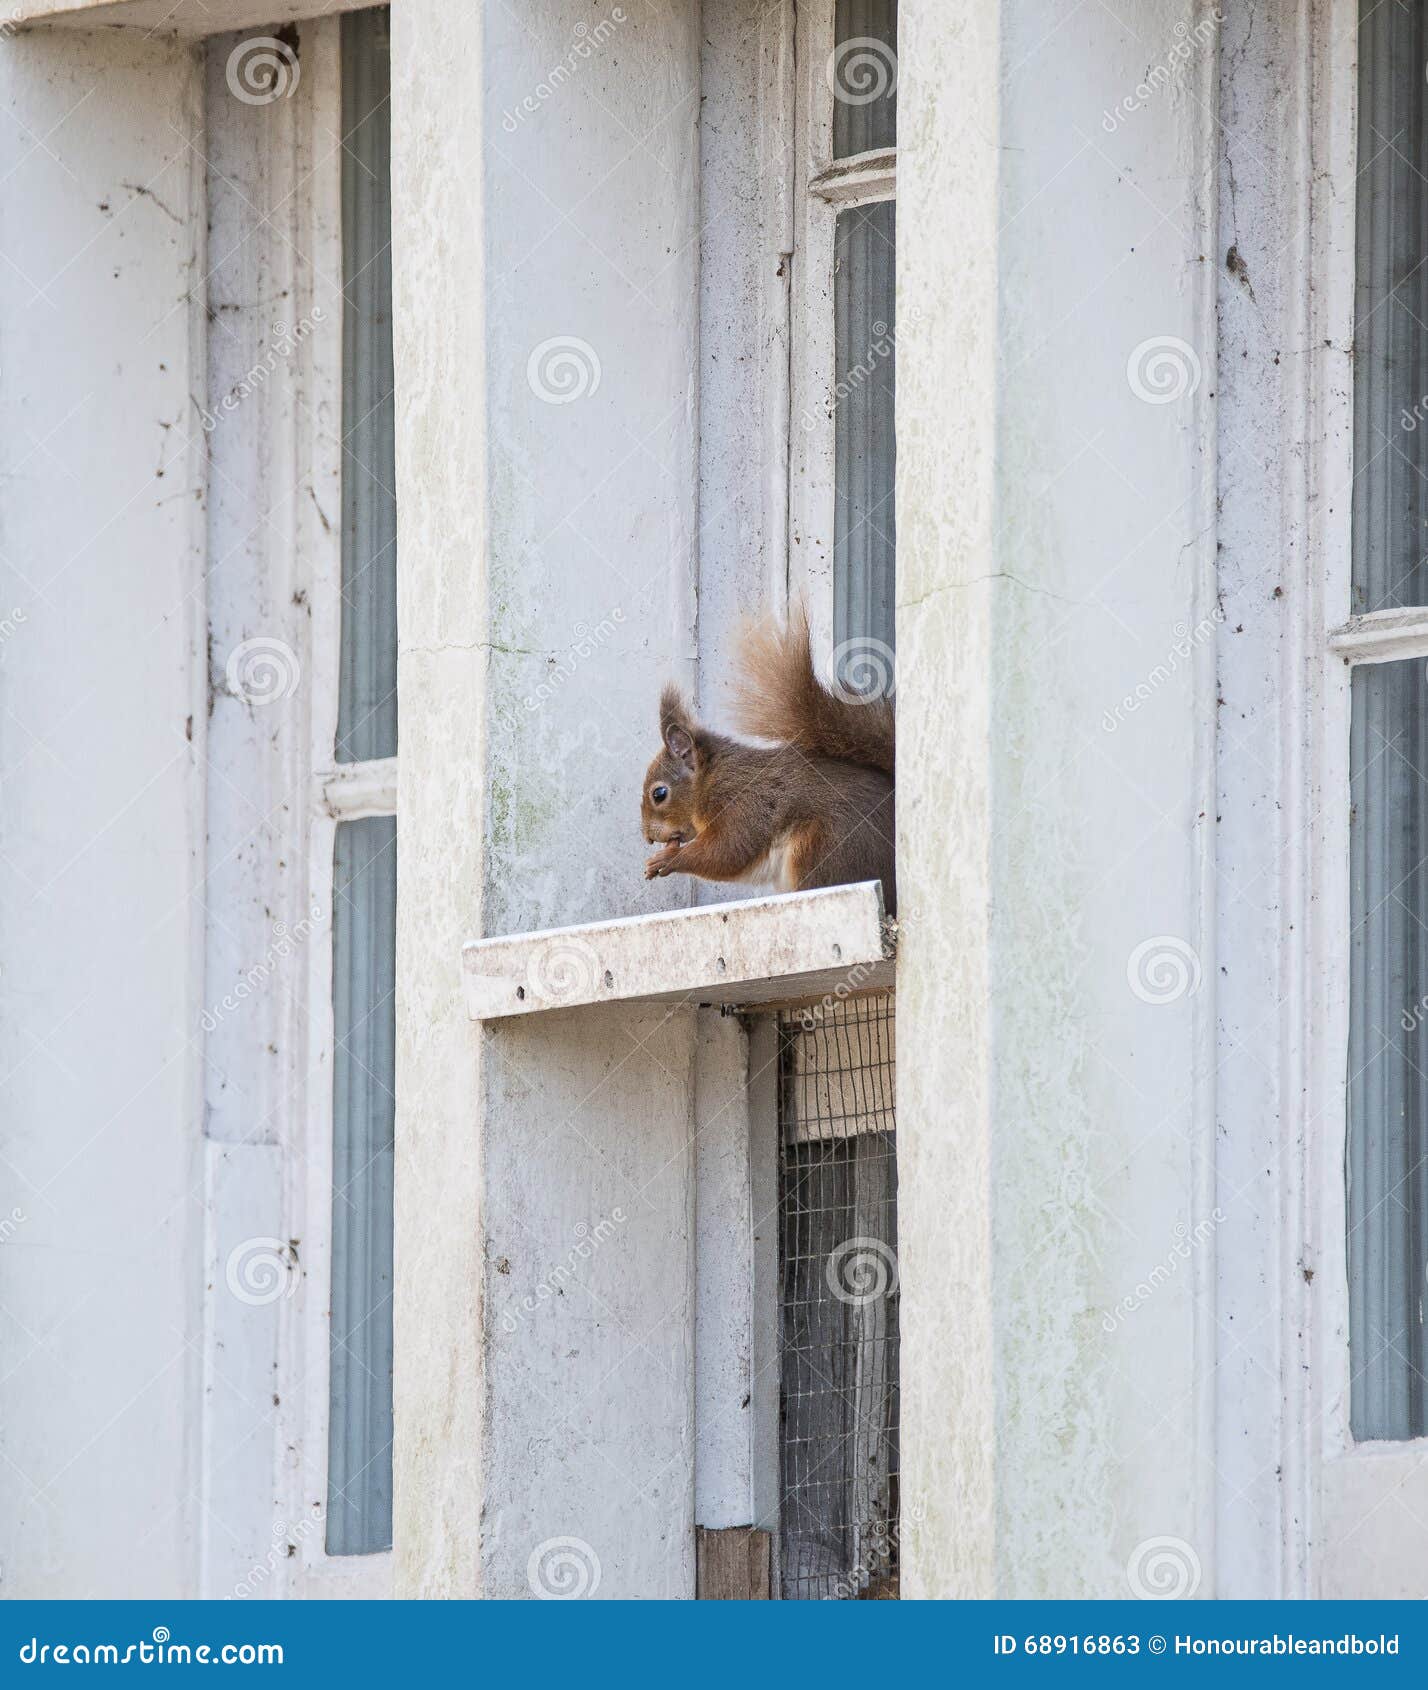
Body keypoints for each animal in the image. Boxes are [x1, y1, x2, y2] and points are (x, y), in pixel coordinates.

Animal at [641, 611, 896, 913]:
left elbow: (728, 851)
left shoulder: (744, 803)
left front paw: (667, 859)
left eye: (659, 794)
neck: (711, 779)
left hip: (824, 848)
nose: (648, 836)